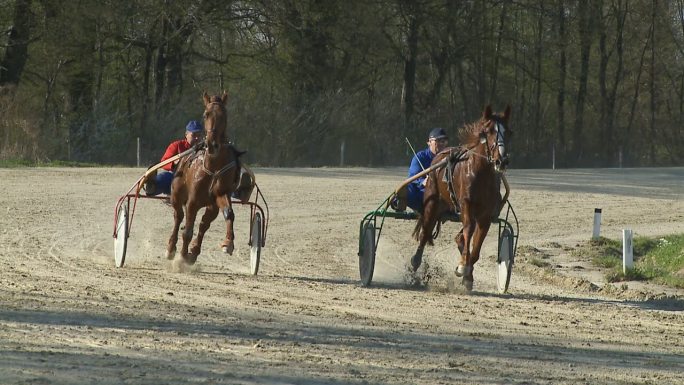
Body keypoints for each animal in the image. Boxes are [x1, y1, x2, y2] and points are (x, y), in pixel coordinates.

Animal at [167, 91, 244, 262]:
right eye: (205, 114)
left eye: (224, 115)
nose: (212, 144)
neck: (213, 165)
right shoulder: (192, 201)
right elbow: (187, 231)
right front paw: (182, 257)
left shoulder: (220, 194)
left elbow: (229, 214)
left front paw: (228, 243)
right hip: (176, 194)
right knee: (178, 216)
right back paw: (171, 248)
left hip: (211, 205)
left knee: (203, 223)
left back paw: (194, 251)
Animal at [406, 103, 512, 290]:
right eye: (488, 131)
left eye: (508, 132)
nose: (502, 161)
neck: (481, 174)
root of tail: (439, 156)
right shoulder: (466, 205)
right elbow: (469, 229)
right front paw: (463, 266)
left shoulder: (485, 214)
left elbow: (477, 243)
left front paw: (467, 274)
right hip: (432, 202)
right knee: (426, 231)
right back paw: (415, 262)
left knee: (458, 237)